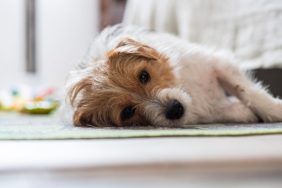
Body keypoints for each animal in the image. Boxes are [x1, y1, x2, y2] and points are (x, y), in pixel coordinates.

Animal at [65, 25, 282, 127]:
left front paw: (275, 110)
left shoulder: (218, 64)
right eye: (127, 112)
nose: (175, 109)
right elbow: (232, 109)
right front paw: (245, 112)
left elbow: (250, 92)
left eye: (144, 76)